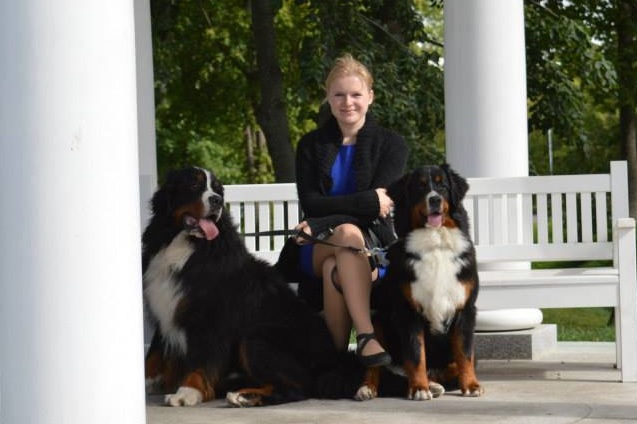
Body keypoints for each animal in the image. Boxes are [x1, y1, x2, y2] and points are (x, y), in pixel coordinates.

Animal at [143, 166, 362, 408]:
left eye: (217, 189)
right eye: (193, 184)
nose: (217, 200)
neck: (187, 246)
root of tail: (333, 360)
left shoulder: (207, 317)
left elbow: (200, 358)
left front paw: (187, 392)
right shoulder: (166, 306)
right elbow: (153, 354)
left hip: (255, 336)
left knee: (296, 388)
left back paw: (243, 396)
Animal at [358, 164, 482, 402]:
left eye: (442, 185)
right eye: (420, 187)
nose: (434, 199)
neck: (436, 244)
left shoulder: (465, 309)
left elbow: (465, 353)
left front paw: (471, 385)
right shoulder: (408, 310)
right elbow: (416, 354)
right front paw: (419, 388)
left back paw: (435, 384)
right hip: (377, 320)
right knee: (378, 365)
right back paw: (368, 387)